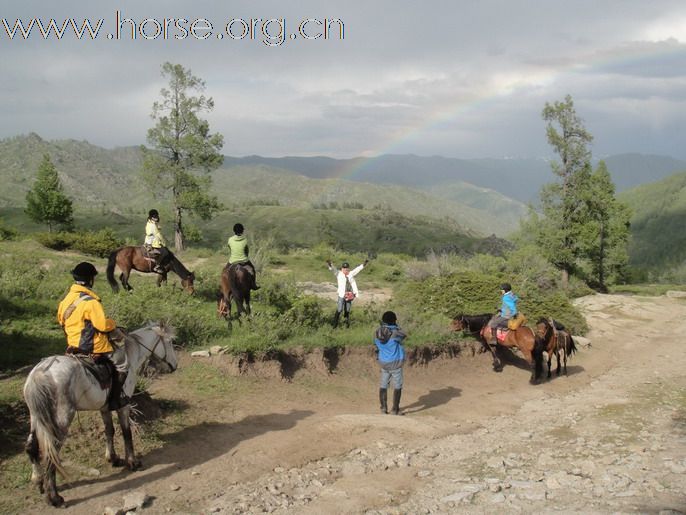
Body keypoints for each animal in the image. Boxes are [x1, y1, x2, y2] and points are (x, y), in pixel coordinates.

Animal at [23, 322, 179, 508]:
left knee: (32, 446)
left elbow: (109, 431)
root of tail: (40, 373)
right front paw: (132, 462)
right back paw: (54, 497)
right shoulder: (124, 406)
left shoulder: (104, 408)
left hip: (36, 417)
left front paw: (113, 458)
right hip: (61, 421)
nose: (175, 365)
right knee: (51, 453)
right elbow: (126, 433)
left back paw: (38, 481)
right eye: (169, 342)